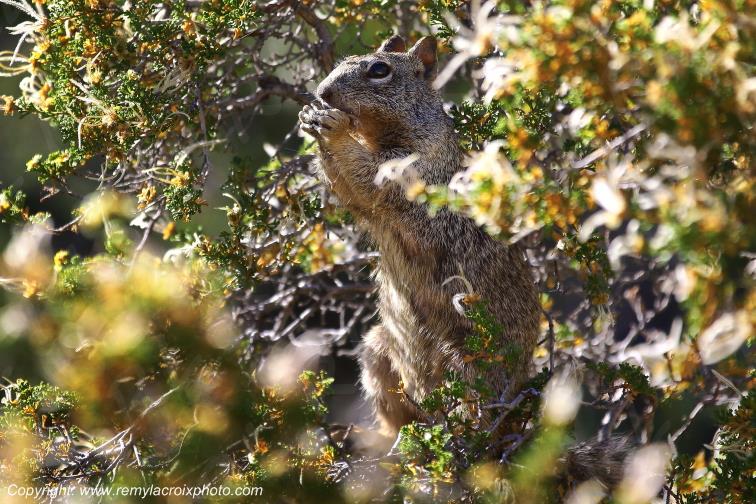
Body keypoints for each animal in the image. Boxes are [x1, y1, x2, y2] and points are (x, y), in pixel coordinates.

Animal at [299, 35, 629, 488]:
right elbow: (347, 191)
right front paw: (310, 118)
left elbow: (365, 177)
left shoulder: (409, 176)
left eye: (379, 70)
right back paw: (380, 444)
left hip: (468, 367)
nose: (323, 92)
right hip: (378, 352)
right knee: (401, 419)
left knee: (470, 427)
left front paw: (332, 129)